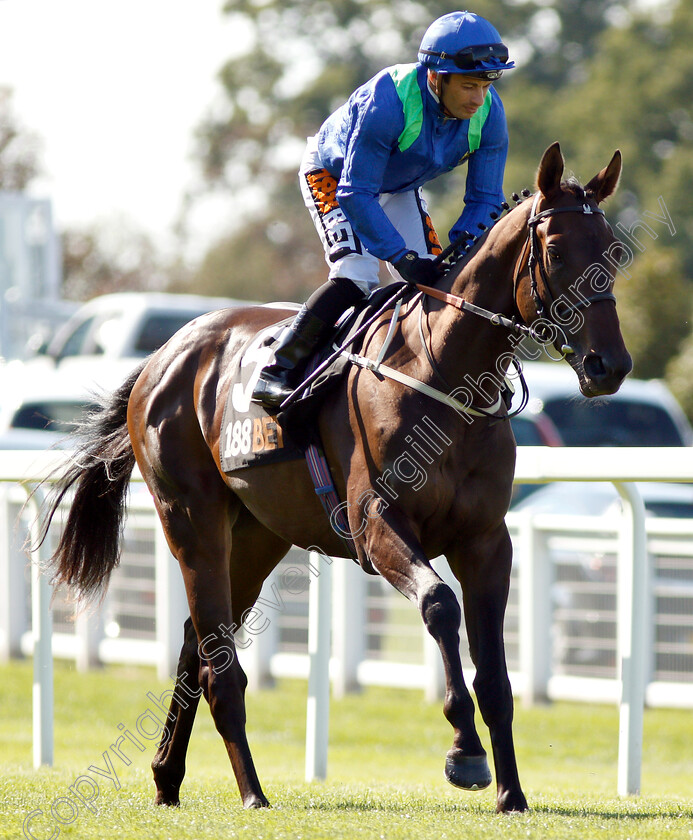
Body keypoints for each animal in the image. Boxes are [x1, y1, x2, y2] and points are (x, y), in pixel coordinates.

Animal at [40, 141, 628, 812]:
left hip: (258, 535)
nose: (609, 365)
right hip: (190, 519)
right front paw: (465, 751)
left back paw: (167, 778)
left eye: (612, 249)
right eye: (555, 250)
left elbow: (497, 672)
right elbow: (439, 605)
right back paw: (252, 792)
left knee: (198, 640)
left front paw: (512, 794)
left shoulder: (485, 540)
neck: (443, 376)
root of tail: (162, 356)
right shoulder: (376, 525)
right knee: (220, 663)